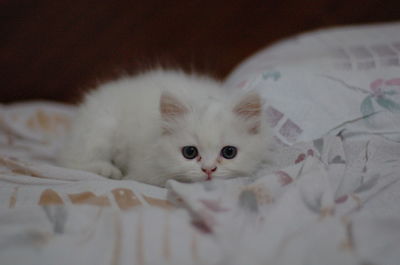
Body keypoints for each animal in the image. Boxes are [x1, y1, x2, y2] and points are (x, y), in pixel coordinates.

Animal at [57, 70, 276, 186]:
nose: (208, 170)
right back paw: (108, 170)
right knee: (73, 161)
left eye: (229, 152)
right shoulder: (144, 170)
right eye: (190, 152)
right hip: (101, 128)